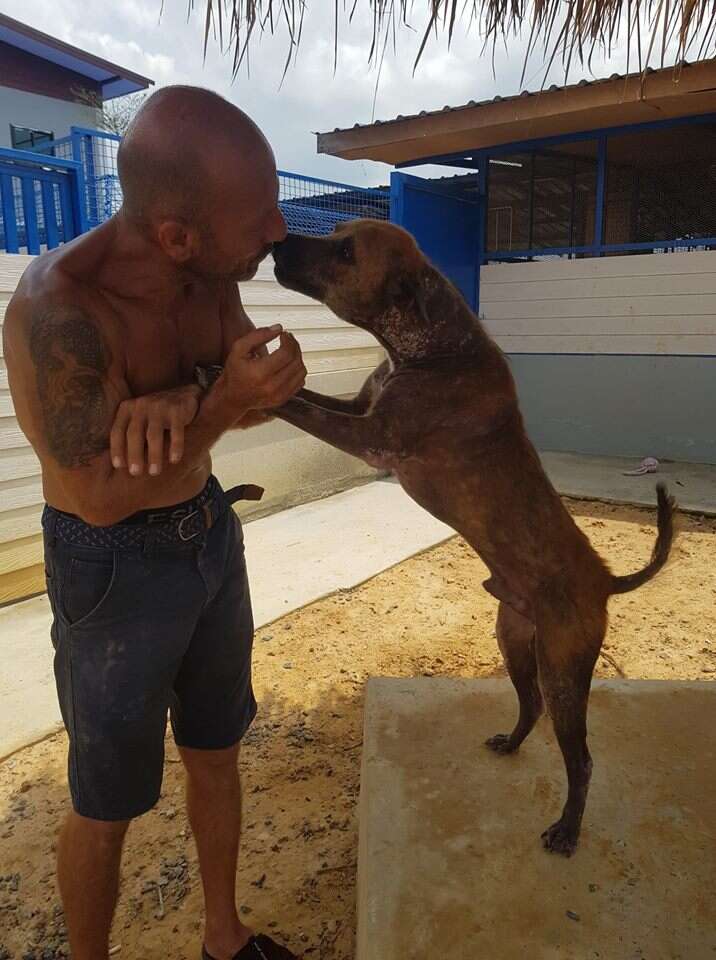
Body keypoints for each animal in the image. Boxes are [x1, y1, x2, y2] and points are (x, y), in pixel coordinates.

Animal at [270, 219, 676, 856]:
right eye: (336, 234)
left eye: (346, 251)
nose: (277, 243)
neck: (434, 348)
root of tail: (606, 581)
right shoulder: (359, 408)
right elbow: (306, 396)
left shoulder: (369, 437)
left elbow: (295, 407)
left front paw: (218, 378)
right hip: (514, 641)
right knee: (530, 705)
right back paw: (512, 742)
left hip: (564, 671)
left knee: (582, 759)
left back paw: (567, 829)